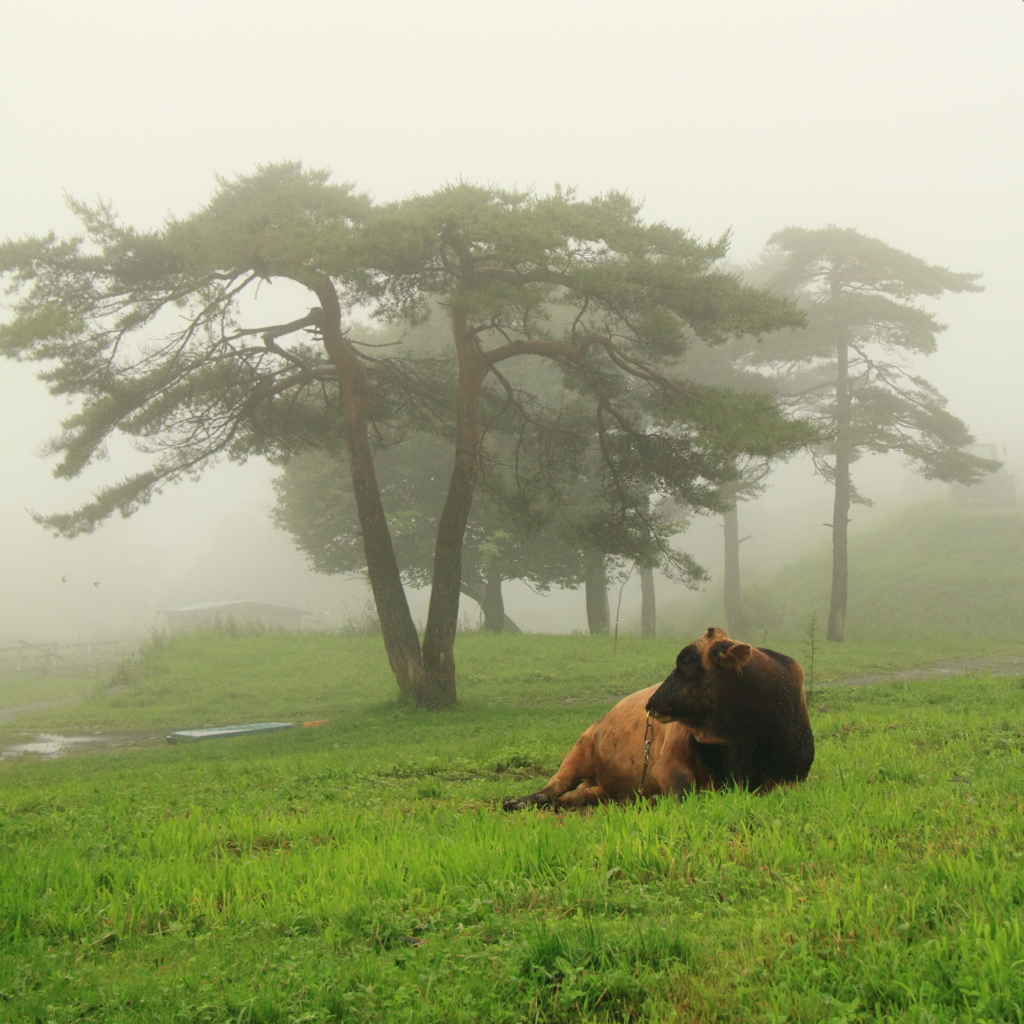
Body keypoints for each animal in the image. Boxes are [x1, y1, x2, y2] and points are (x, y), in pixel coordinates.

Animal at [499, 622, 811, 806]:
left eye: (687, 661)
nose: (651, 702)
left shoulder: (791, 779)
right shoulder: (667, 767)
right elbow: (683, 792)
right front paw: (653, 800)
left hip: (604, 785)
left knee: (579, 795)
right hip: (579, 751)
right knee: (555, 786)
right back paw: (522, 801)